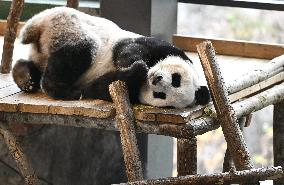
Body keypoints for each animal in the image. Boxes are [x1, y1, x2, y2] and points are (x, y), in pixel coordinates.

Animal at [12, 6, 210, 108]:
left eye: (161, 95)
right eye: (177, 79)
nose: (156, 78)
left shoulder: (129, 94)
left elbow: (102, 86)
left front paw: (136, 70)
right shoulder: (157, 46)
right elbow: (128, 49)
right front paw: (137, 65)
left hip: (50, 44)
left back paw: (26, 78)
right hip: (70, 26)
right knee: (80, 51)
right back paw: (62, 90)